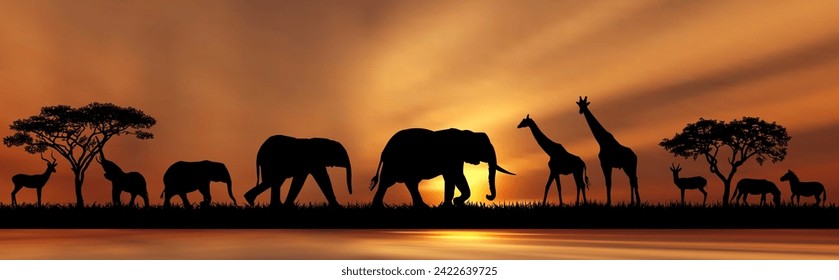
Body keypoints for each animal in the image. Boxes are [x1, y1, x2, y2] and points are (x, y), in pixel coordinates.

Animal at [370, 128, 516, 207]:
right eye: (483, 148)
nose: (487, 196)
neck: (466, 132)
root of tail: (384, 150)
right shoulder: (452, 155)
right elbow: (456, 176)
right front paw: (456, 202)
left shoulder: (457, 158)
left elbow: (452, 178)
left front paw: (450, 205)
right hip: (394, 162)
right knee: (388, 182)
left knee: (406, 183)